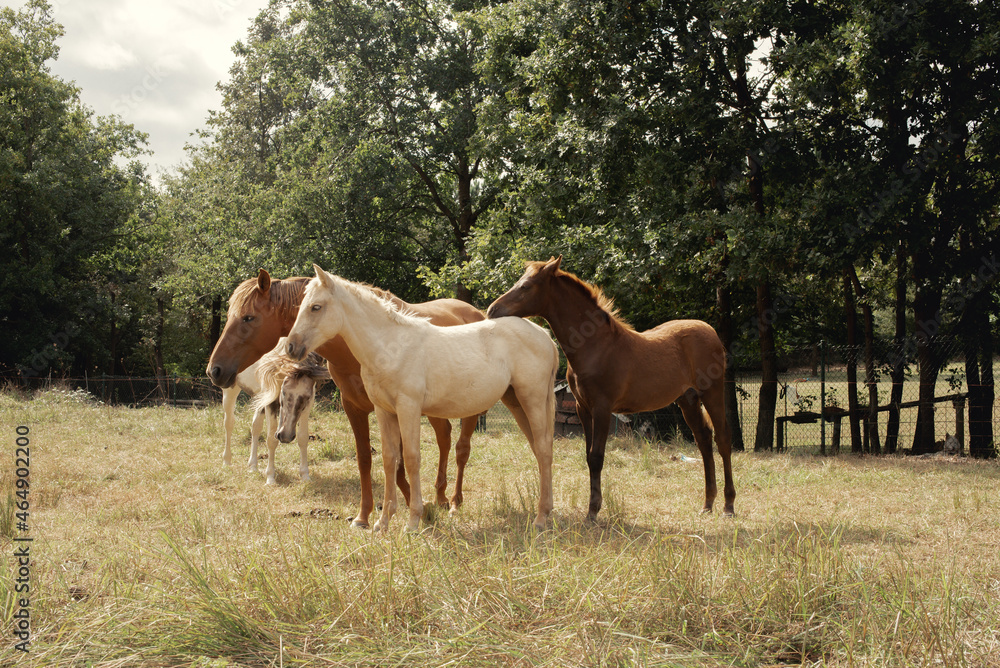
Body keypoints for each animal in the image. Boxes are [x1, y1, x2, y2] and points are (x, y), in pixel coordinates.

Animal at [252, 340, 330, 486]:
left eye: (307, 397)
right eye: (283, 392)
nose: (285, 436)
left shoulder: (308, 404)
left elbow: (303, 437)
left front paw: (305, 475)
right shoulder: (270, 401)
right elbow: (271, 440)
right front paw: (270, 478)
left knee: (255, 426)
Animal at [488, 253, 740, 520]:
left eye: (526, 286)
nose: (493, 309)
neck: (595, 344)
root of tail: (710, 331)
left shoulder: (602, 408)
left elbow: (597, 456)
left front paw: (593, 512)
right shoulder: (583, 408)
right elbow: (588, 456)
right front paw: (592, 508)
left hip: (712, 392)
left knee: (723, 439)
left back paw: (728, 505)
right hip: (688, 400)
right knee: (703, 439)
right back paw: (707, 503)